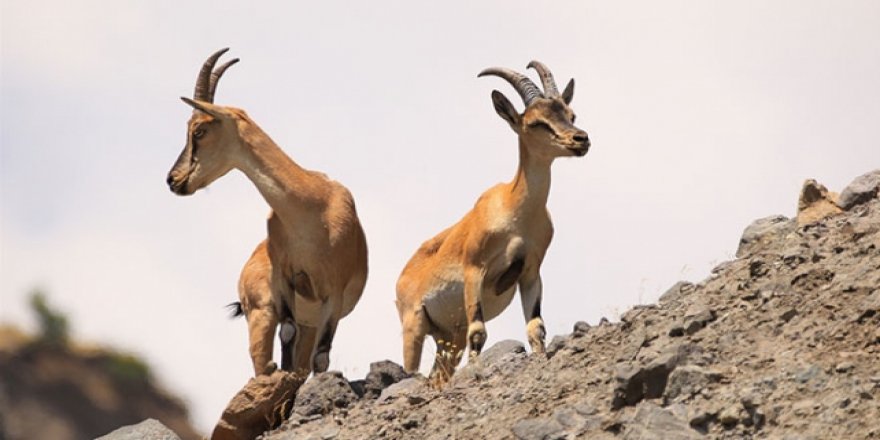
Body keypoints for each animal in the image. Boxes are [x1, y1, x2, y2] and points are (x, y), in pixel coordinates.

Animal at [166, 49, 368, 378]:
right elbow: (286, 334)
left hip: (311, 319)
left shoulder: (332, 297)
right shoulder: (283, 283)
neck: (315, 207)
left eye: (199, 130)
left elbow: (321, 358)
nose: (174, 179)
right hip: (261, 314)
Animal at [396, 62, 588, 382]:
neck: (515, 213)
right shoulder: (475, 270)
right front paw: (477, 372)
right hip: (414, 327)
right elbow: (479, 332)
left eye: (570, 114)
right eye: (536, 122)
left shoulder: (530, 272)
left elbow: (536, 328)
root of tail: (402, 277)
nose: (581, 139)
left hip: (448, 336)